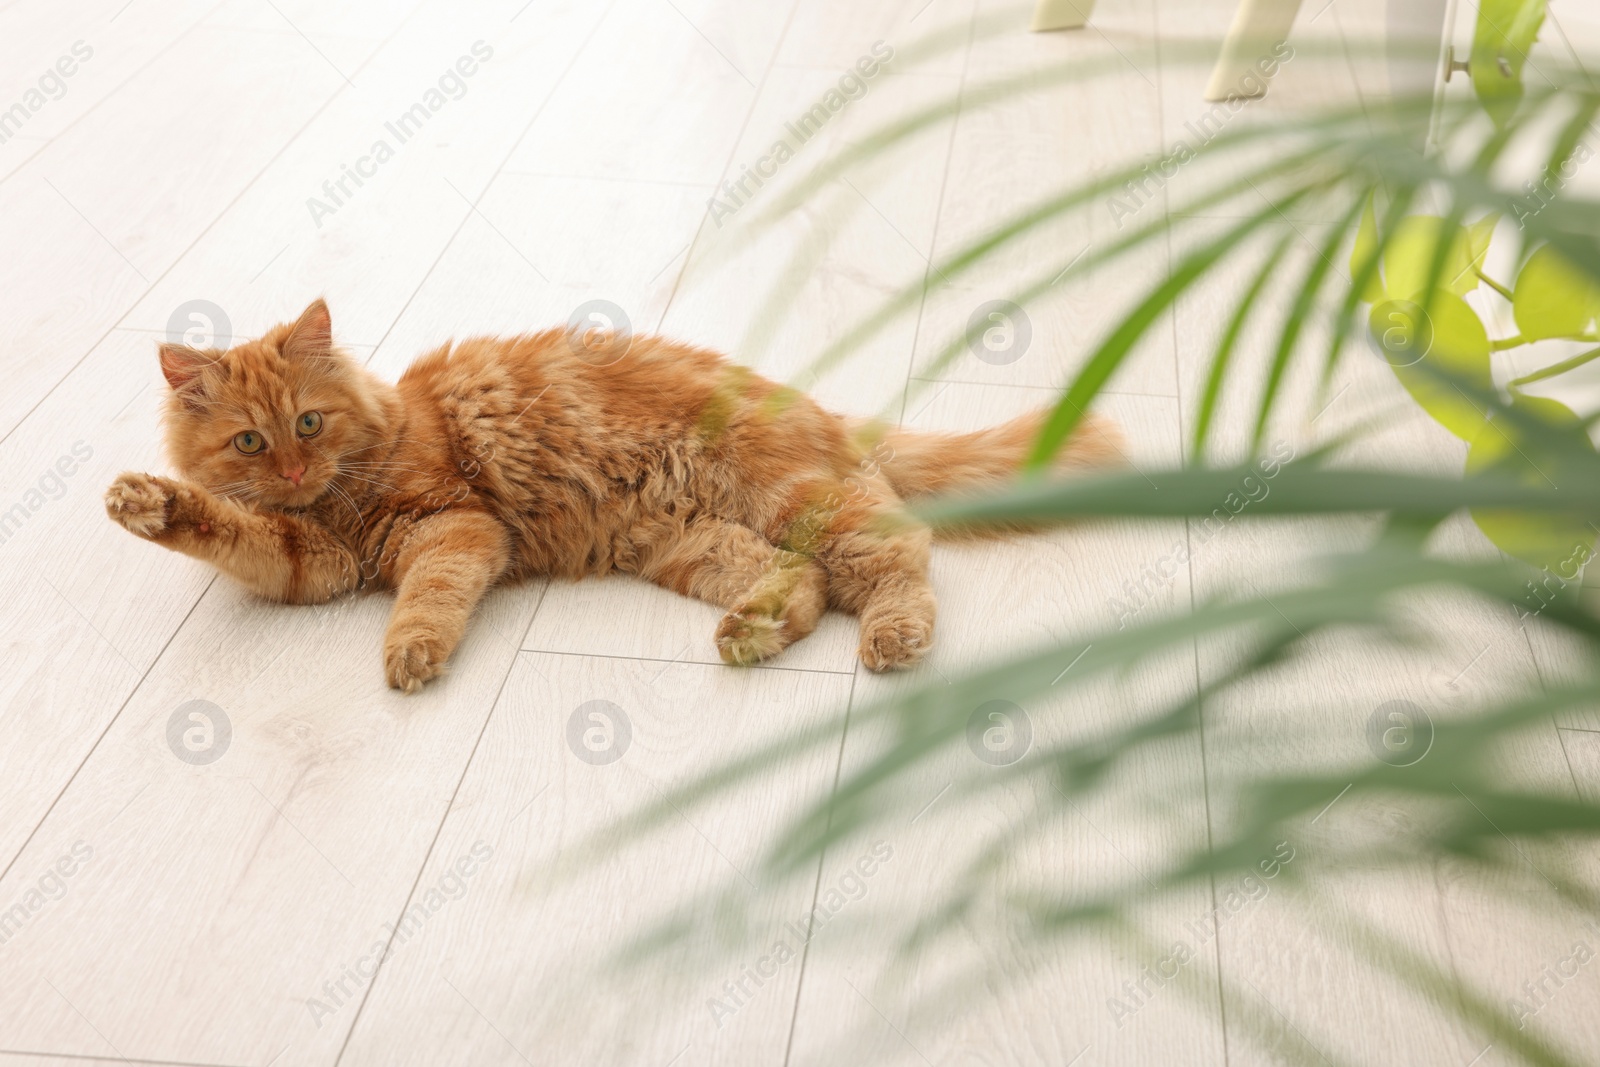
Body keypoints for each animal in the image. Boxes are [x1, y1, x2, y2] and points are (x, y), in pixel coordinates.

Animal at [103, 300, 1126, 694]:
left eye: (309, 424)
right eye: (251, 441)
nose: (292, 473)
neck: (340, 499)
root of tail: (815, 406)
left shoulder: (451, 524)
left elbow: (426, 602)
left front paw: (411, 655)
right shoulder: (313, 564)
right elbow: (228, 528)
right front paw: (144, 502)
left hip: (792, 501)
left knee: (900, 560)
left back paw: (893, 638)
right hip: (696, 544)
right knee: (802, 586)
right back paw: (751, 632)